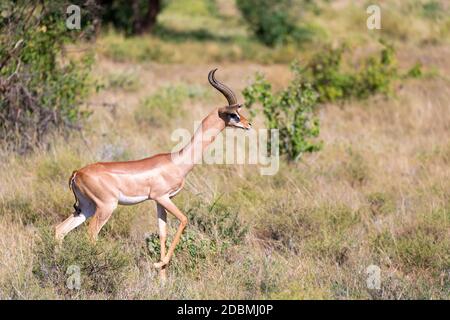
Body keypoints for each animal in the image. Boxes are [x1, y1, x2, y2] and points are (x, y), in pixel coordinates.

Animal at [55, 69, 251, 278]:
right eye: (233, 114)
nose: (248, 124)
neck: (177, 161)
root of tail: (77, 173)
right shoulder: (162, 197)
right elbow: (184, 219)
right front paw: (159, 264)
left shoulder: (159, 201)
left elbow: (162, 232)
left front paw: (162, 279)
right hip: (106, 207)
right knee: (91, 234)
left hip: (86, 208)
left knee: (60, 230)